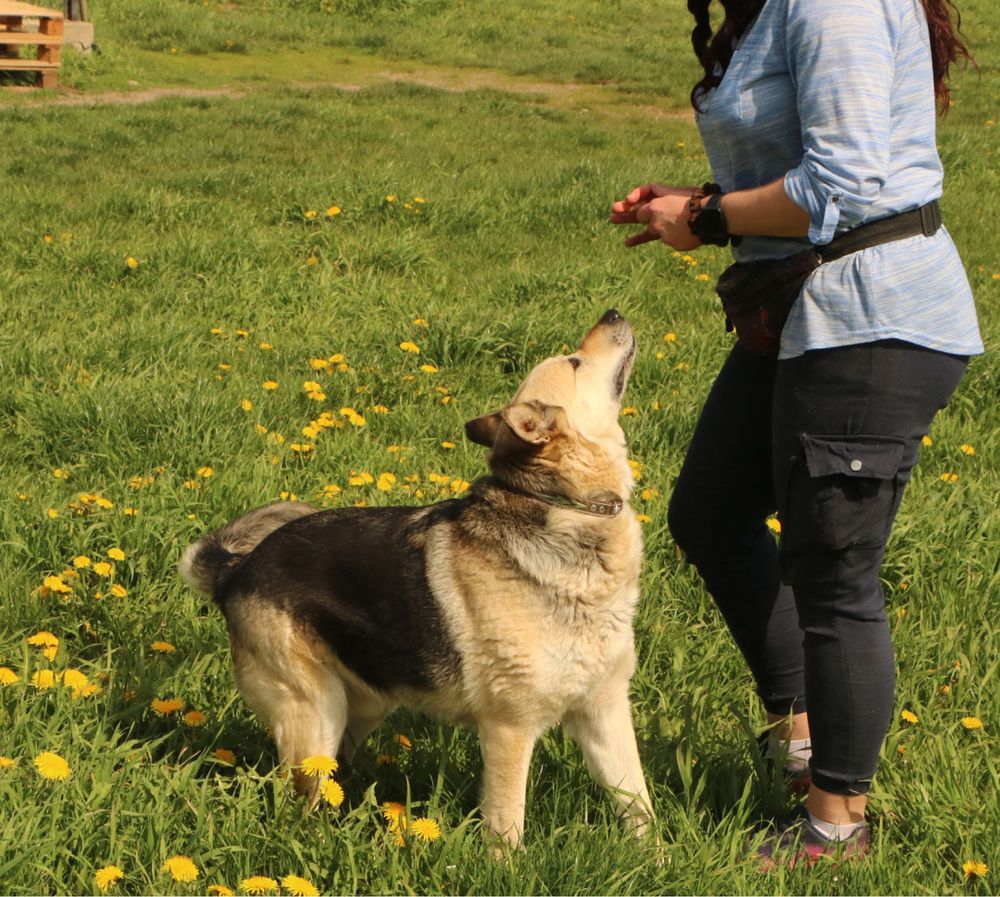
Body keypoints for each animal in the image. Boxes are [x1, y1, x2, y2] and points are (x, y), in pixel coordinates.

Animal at [179, 308, 648, 848]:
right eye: (574, 362)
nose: (613, 313)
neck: (563, 508)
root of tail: (236, 570)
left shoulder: (605, 714)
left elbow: (641, 808)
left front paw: (659, 860)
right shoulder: (509, 729)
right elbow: (507, 826)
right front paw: (508, 864)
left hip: (359, 709)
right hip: (315, 716)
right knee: (300, 804)